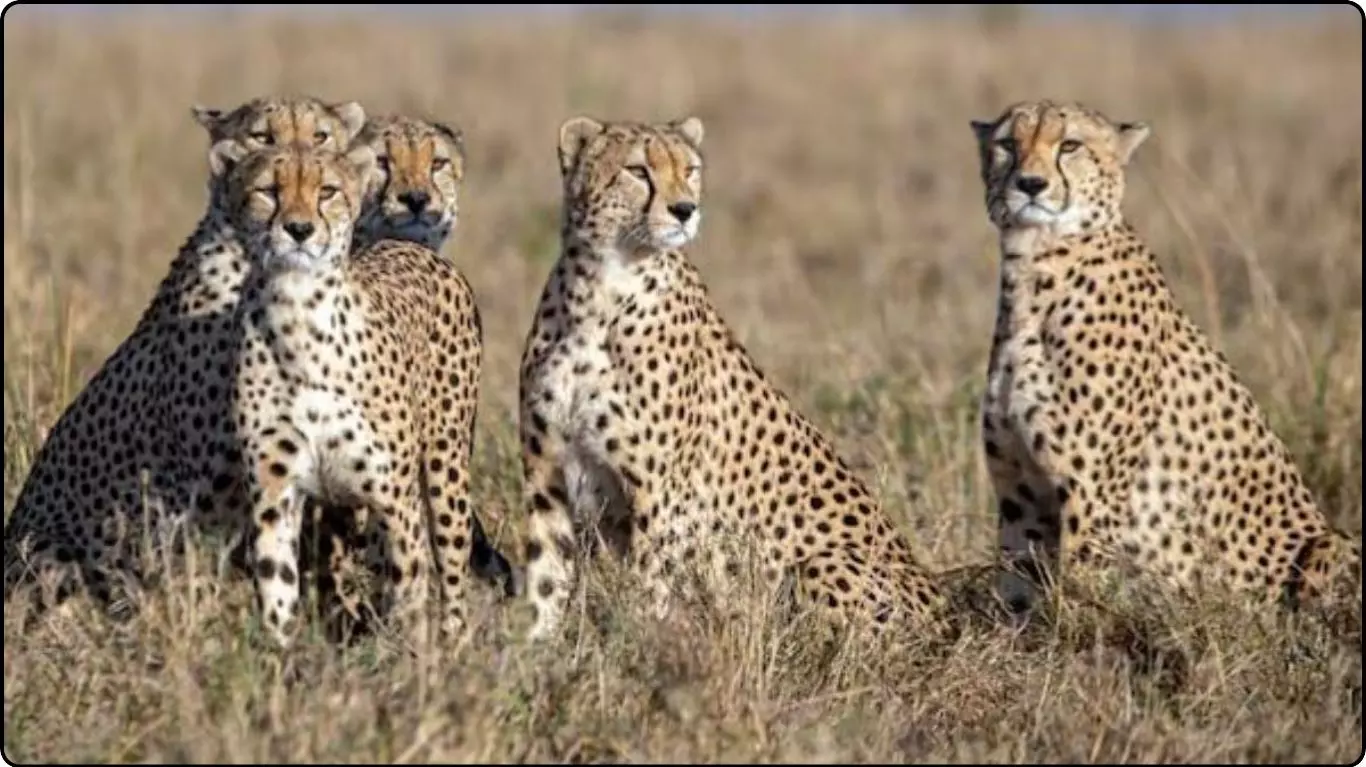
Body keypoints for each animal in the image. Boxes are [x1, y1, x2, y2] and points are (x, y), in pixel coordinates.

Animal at [222, 139, 486, 648]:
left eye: (326, 191)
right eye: (268, 191)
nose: (299, 229)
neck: (298, 315)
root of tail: (405, 243)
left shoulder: (395, 498)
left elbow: (410, 593)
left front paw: (412, 662)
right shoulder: (273, 494)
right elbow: (277, 590)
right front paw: (281, 660)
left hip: (445, 470)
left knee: (451, 576)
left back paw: (457, 644)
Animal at [515, 115, 948, 642]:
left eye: (690, 169)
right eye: (638, 171)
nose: (685, 209)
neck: (599, 289)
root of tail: (947, 612)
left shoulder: (659, 496)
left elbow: (647, 590)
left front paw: (640, 649)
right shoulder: (548, 475)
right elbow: (544, 581)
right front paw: (533, 653)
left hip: (821, 565)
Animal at [971, 98, 1362, 621]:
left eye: (1069, 145)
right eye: (1008, 145)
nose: (1030, 184)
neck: (1036, 265)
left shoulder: (1091, 499)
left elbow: (1078, 599)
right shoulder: (1022, 496)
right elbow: (1018, 592)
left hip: (1330, 543)